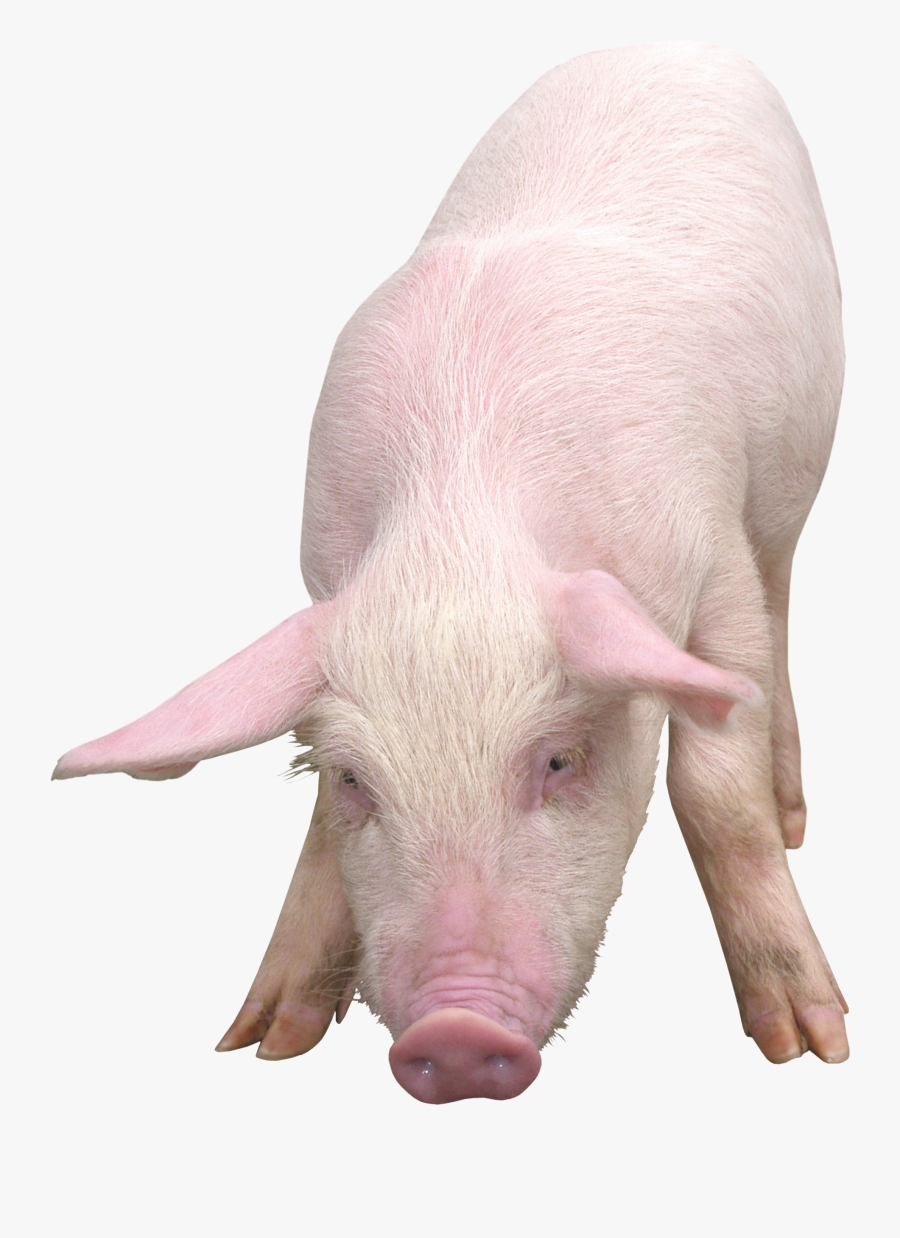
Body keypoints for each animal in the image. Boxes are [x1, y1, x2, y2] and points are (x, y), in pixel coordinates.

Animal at [53, 42, 848, 1102]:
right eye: (356, 777)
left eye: (558, 760)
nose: (459, 1035)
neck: (456, 529)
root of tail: (667, 40)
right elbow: (314, 830)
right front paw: (263, 1040)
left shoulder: (710, 547)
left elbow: (718, 793)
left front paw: (810, 1046)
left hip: (794, 476)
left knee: (784, 602)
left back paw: (795, 809)